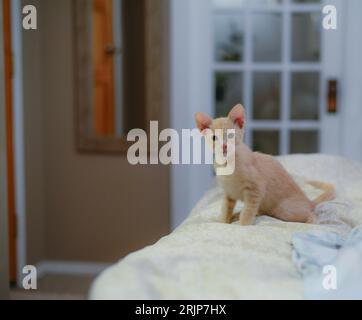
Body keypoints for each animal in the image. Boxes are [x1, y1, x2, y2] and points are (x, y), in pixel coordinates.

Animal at [197, 105, 336, 225]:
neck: (228, 163)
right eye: (214, 138)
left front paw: (243, 225)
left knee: (310, 214)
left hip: (285, 209)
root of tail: (308, 201)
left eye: (231, 135)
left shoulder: (256, 189)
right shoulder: (229, 192)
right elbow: (226, 209)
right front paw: (223, 222)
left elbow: (248, 210)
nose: (224, 146)